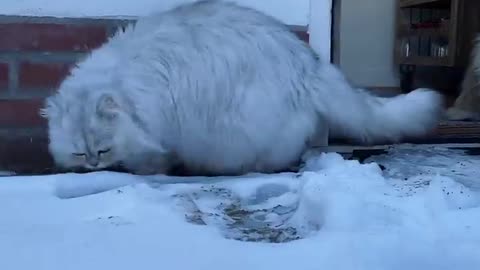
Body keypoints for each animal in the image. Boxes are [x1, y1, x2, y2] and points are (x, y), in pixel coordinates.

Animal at [41, 0, 442, 176]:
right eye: (80, 153)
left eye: (102, 150)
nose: (93, 165)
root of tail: (308, 62)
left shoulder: (158, 129)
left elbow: (150, 159)